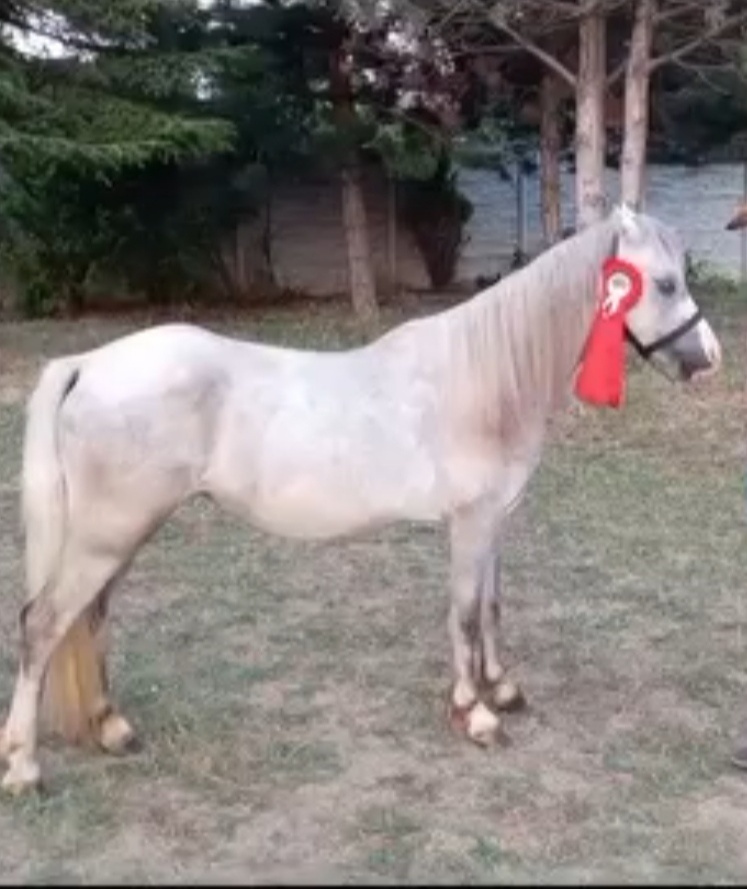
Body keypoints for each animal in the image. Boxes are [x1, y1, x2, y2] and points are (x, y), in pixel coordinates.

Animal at [0, 205, 722, 794]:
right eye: (663, 283)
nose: (707, 360)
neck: (485, 375)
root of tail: (89, 364)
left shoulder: (493, 523)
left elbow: (492, 606)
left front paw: (504, 688)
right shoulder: (469, 524)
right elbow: (464, 614)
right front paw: (475, 712)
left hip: (116, 534)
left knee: (90, 618)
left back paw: (112, 729)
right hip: (108, 532)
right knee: (44, 624)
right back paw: (26, 770)